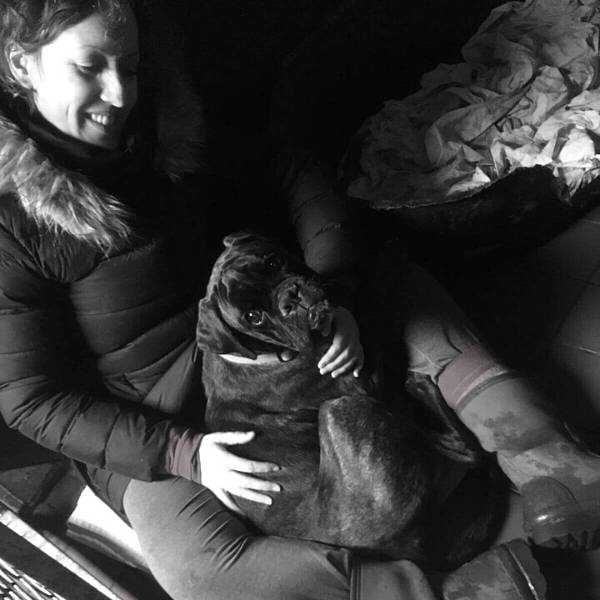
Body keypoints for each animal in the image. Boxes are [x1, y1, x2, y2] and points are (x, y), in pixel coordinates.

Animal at [196, 231, 502, 564]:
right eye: (253, 316)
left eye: (273, 261)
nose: (291, 298)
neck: (260, 353)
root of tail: (410, 549)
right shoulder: (363, 378)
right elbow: (373, 304)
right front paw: (387, 259)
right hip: (340, 410)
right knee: (463, 449)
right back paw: (422, 390)